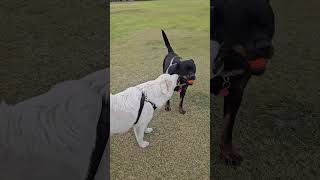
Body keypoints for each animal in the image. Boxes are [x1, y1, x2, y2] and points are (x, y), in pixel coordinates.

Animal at [210, 0, 276, 166]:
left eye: (267, 24)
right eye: (240, 28)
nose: (264, 46)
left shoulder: (236, 92)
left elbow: (228, 126)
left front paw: (227, 153)